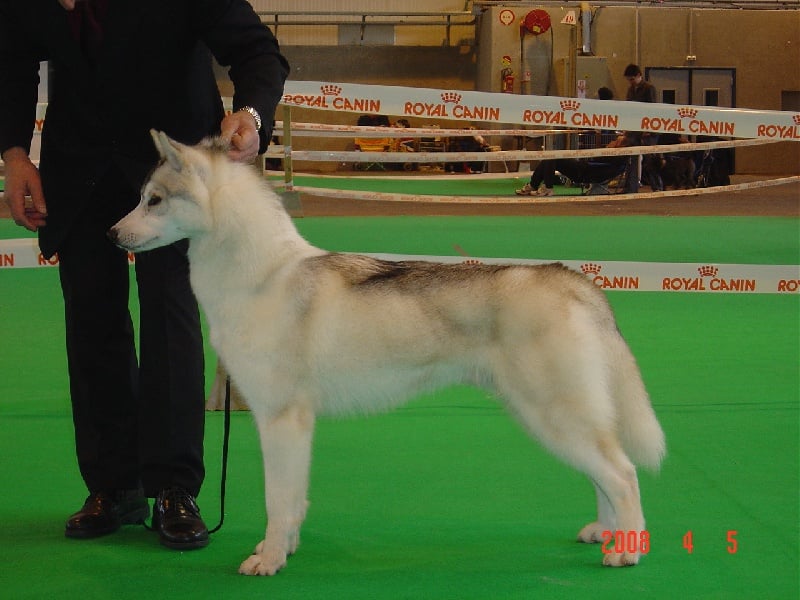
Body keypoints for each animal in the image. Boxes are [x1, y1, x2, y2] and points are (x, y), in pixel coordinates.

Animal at [109, 131, 666, 576]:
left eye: (154, 200)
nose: (112, 234)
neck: (260, 276)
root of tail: (573, 279)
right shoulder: (295, 425)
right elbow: (294, 501)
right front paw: (286, 548)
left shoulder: (280, 418)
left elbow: (277, 500)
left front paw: (268, 559)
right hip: (559, 416)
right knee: (606, 473)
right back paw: (606, 532)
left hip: (554, 413)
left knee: (623, 474)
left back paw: (627, 550)